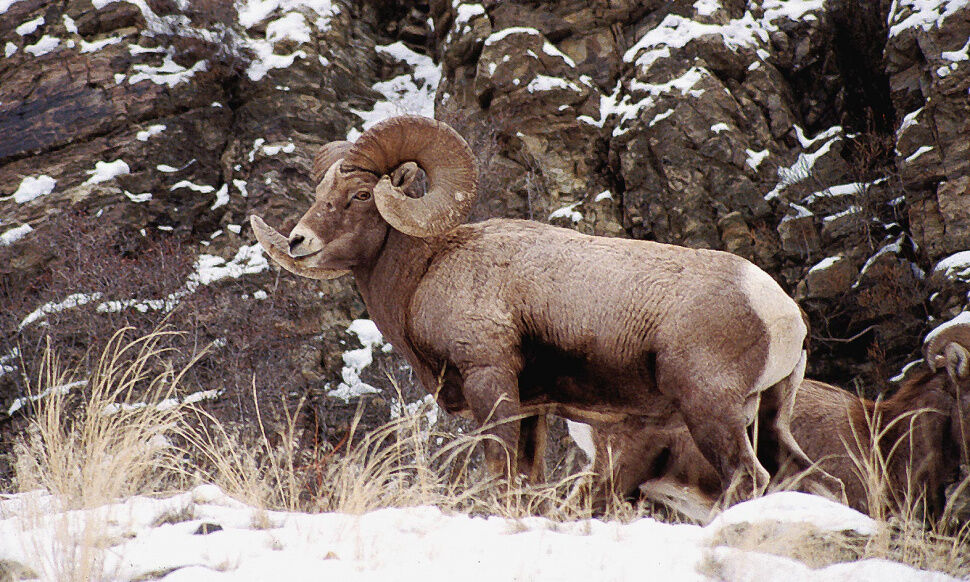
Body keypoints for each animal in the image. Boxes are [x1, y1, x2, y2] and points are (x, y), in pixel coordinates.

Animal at [249, 115, 809, 501]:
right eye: (321, 191)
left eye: (362, 194)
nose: (299, 241)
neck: (427, 270)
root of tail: (780, 312)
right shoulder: (534, 411)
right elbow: (528, 480)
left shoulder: (490, 383)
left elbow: (500, 473)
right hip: (769, 416)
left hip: (711, 411)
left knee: (746, 478)